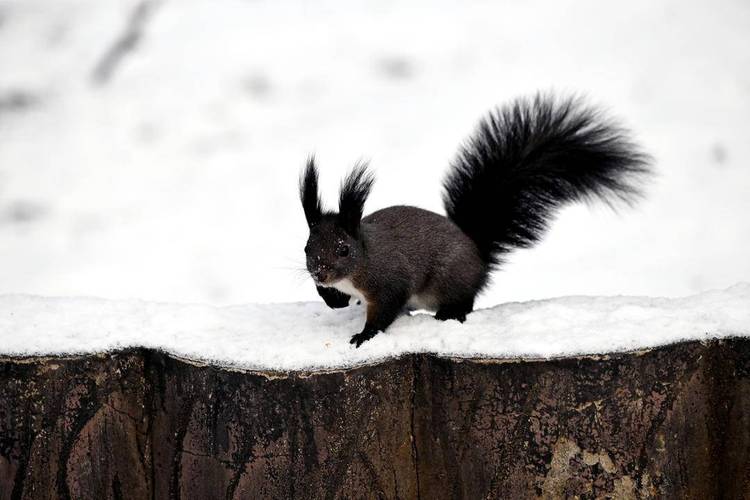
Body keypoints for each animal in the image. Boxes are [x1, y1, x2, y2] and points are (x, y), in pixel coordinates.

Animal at [300, 92, 652, 346]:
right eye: (307, 247)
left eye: (344, 249)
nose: (319, 272)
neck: (362, 262)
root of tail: (478, 253)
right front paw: (332, 300)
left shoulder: (388, 281)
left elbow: (385, 310)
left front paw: (365, 335)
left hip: (448, 279)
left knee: (465, 301)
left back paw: (450, 313)